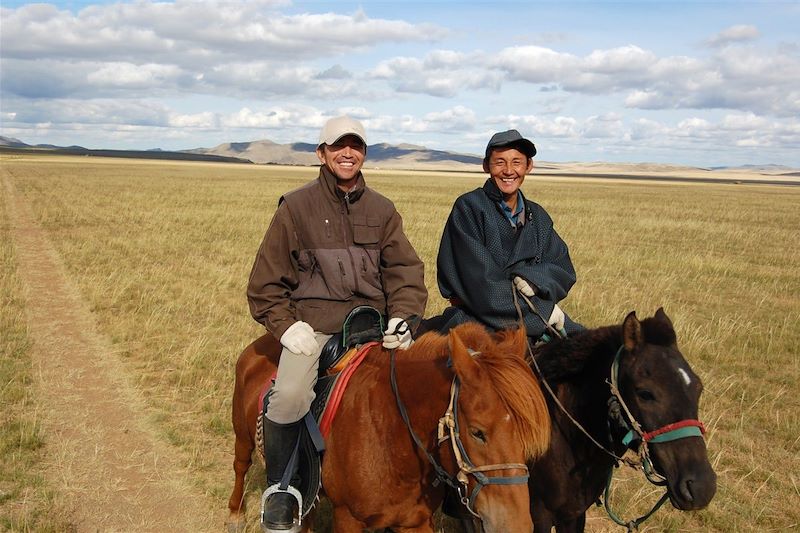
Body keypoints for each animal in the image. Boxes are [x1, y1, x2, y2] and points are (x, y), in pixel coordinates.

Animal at [225, 320, 552, 532]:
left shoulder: (414, 522)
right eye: (478, 432)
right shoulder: (348, 519)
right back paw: (235, 513)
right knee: (241, 464)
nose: (517, 525)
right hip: (242, 435)